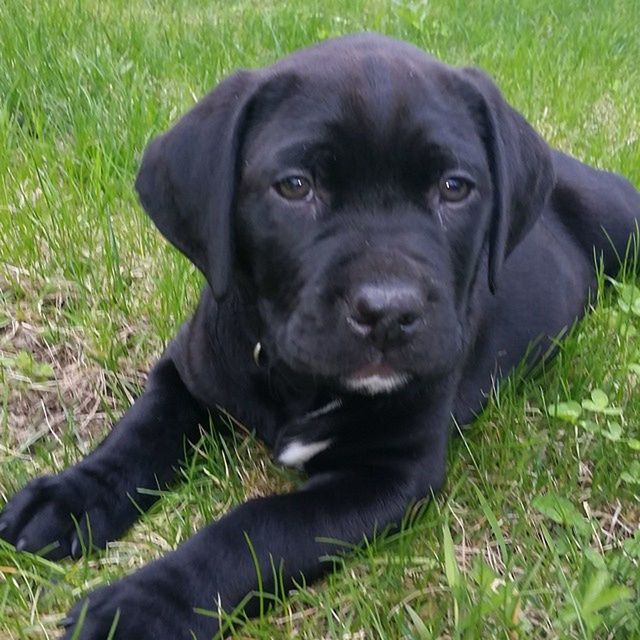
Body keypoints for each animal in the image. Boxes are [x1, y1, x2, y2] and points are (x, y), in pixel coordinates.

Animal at [1, 36, 640, 640]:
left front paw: (143, 605)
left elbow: (259, 529)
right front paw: (67, 498)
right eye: (295, 186)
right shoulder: (187, 371)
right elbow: (138, 433)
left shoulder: (390, 475)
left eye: (455, 188)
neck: (294, 378)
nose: (389, 312)